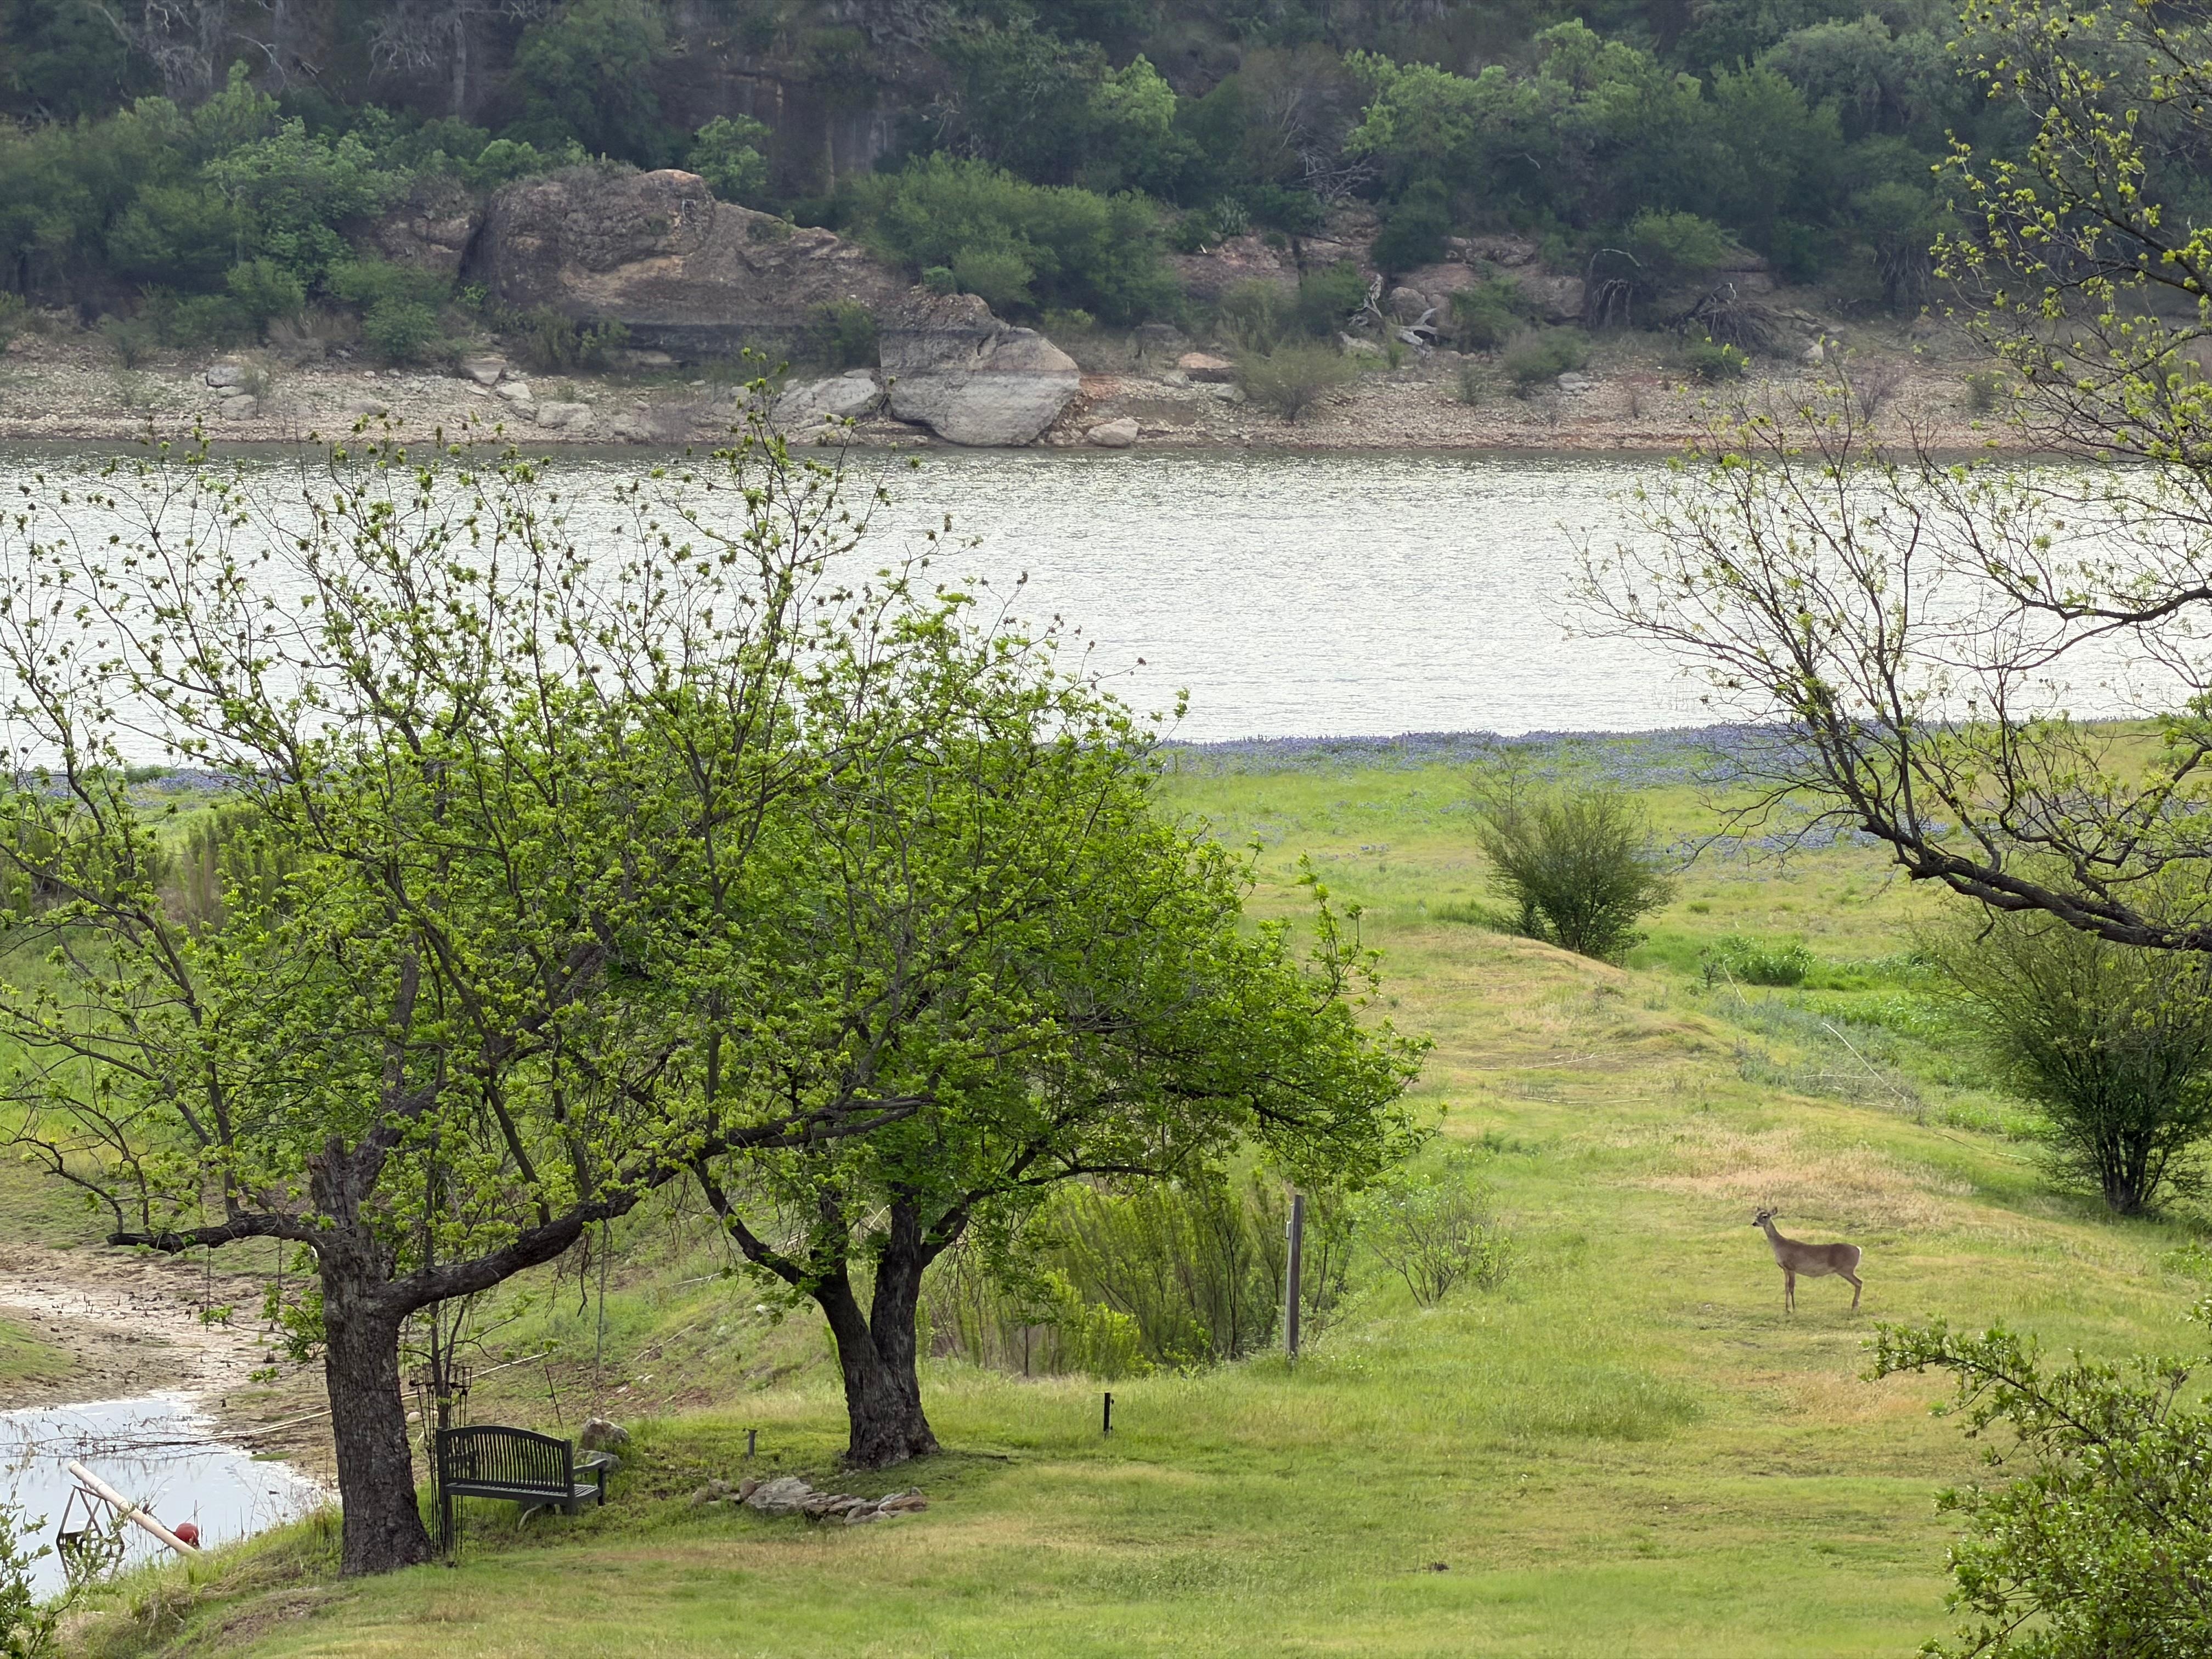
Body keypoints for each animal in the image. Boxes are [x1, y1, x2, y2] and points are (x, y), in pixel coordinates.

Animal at [1751, 1209, 1862, 1313]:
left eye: (1765, 1216)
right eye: (1756, 1215)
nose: (1754, 1223)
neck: (1780, 1246)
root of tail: (1859, 1249)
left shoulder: (1791, 1267)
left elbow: (1792, 1288)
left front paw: (1794, 1309)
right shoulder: (1785, 1269)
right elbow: (1786, 1288)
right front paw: (1787, 1309)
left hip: (1846, 1269)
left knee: (1859, 1282)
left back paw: (1854, 1307)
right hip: (1846, 1270)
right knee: (1859, 1283)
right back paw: (1855, 1307)